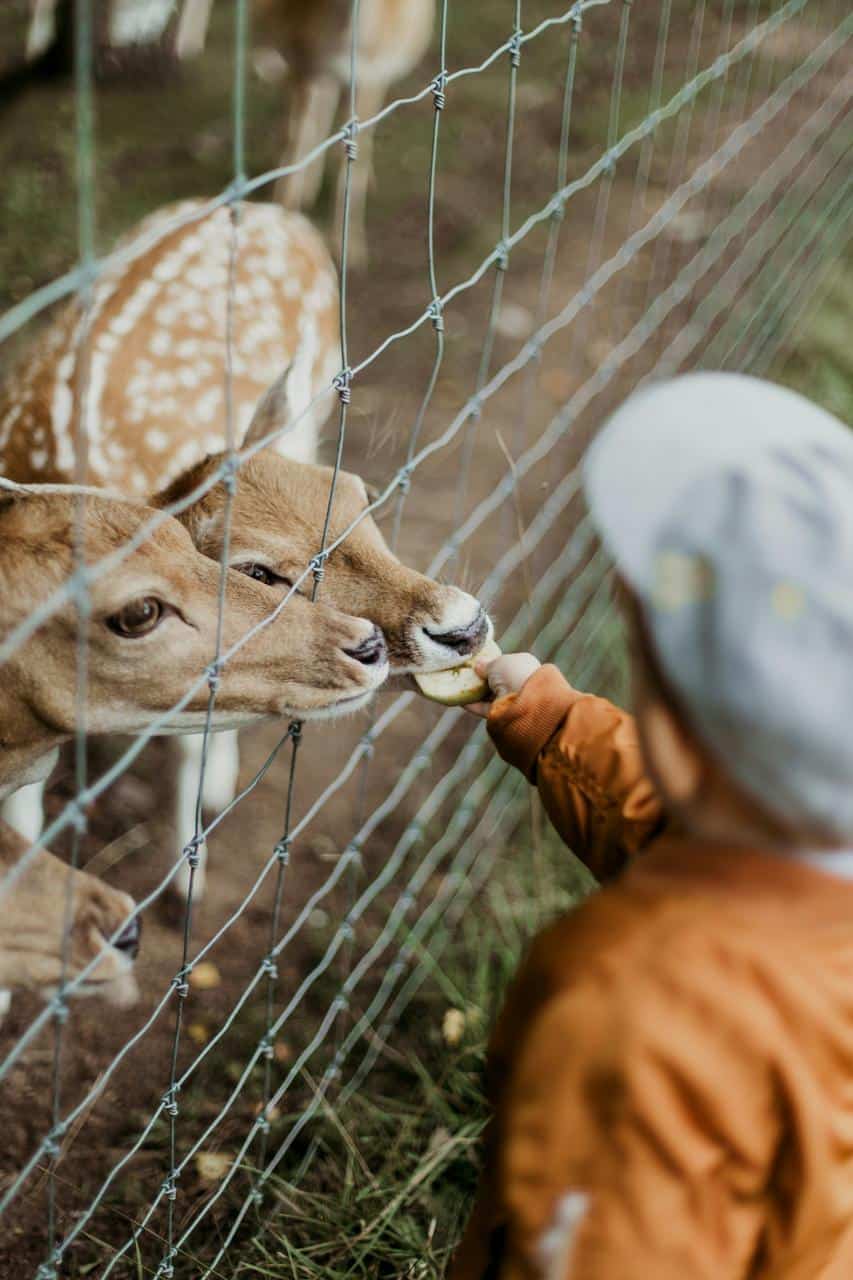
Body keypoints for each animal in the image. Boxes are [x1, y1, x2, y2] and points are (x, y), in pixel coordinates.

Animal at [176, 0, 436, 267]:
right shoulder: (309, 65)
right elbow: (299, 140)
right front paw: (287, 214)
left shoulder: (370, 78)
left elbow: (355, 151)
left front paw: (350, 248)